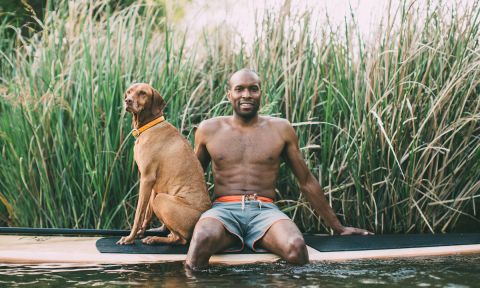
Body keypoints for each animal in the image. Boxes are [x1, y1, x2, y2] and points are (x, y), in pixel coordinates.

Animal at [116, 81, 210, 245]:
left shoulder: (146, 178)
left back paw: (155, 239)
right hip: (159, 195)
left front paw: (130, 238)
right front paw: (140, 233)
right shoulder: (153, 184)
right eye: (129, 92)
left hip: (162, 200)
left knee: (180, 239)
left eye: (142, 93)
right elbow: (147, 213)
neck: (150, 127)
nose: (127, 101)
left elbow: (138, 214)